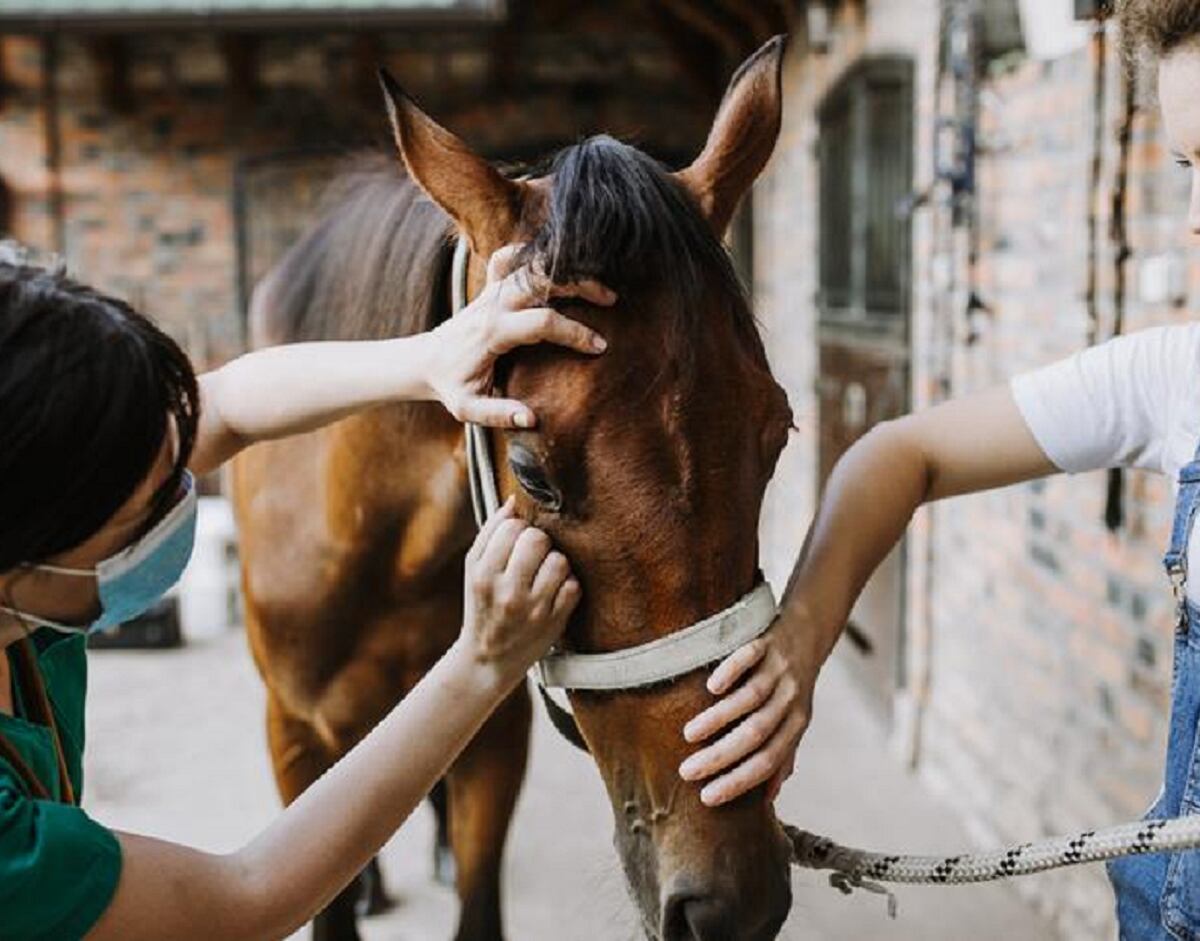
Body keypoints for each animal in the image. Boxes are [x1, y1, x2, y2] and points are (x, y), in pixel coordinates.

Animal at [234, 34, 796, 941]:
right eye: (532, 471)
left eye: (776, 430)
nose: (732, 904)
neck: (375, 542)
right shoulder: (292, 735)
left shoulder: (495, 728)